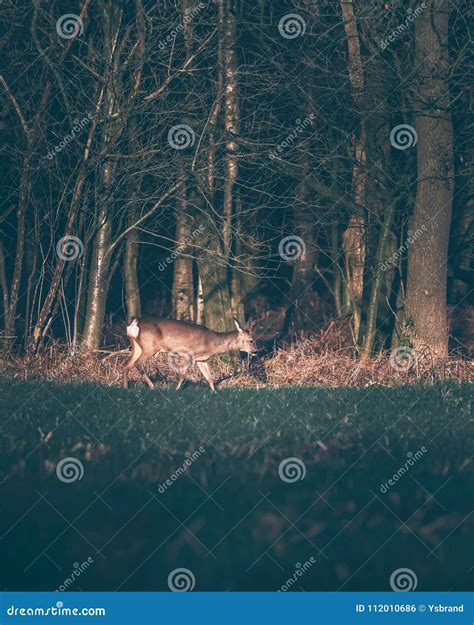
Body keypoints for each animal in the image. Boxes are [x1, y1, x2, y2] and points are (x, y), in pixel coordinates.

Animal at [122, 316, 256, 390]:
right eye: (251, 340)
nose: (256, 351)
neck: (211, 342)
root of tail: (134, 323)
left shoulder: (202, 359)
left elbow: (209, 378)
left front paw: (214, 393)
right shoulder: (186, 354)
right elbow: (182, 375)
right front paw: (176, 390)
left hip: (137, 346)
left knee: (126, 364)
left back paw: (126, 388)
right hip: (149, 346)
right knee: (138, 363)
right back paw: (153, 387)